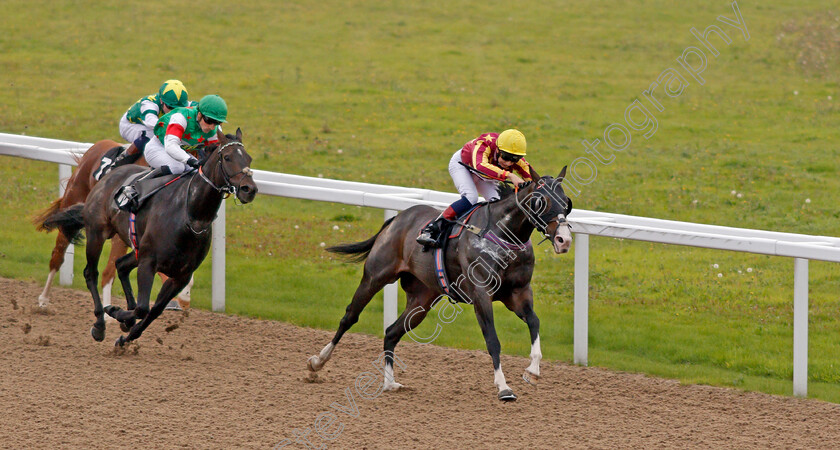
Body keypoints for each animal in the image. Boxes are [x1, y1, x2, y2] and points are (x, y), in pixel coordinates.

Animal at [41, 128, 256, 346]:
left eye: (249, 158)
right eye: (227, 157)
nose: (249, 189)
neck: (190, 215)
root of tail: (109, 175)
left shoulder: (181, 275)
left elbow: (154, 311)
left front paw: (125, 336)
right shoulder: (148, 262)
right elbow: (143, 308)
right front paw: (115, 312)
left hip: (135, 247)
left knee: (120, 265)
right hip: (97, 232)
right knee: (90, 272)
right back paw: (97, 323)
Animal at [306, 168, 576, 400]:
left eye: (566, 202)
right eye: (541, 201)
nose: (564, 240)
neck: (503, 233)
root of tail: (399, 217)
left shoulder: (518, 293)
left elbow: (534, 322)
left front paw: (533, 371)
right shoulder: (481, 294)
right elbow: (492, 340)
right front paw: (503, 387)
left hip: (422, 300)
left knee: (392, 332)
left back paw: (389, 383)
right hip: (375, 276)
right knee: (349, 317)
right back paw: (317, 362)